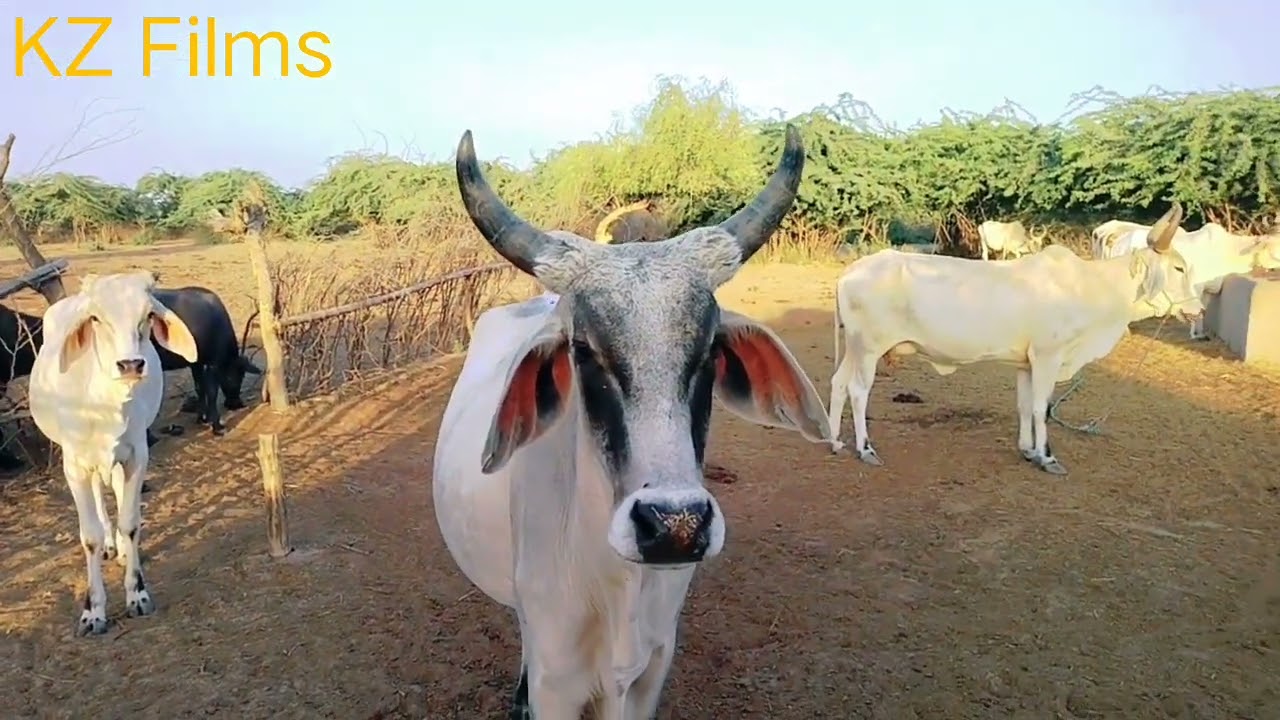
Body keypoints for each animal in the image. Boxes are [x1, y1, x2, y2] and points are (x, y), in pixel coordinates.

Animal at [27, 271, 197, 636]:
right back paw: (109, 543)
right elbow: (89, 536)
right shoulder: (75, 466)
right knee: (98, 498)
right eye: (95, 318)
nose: (130, 364)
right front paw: (93, 611)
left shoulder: (136, 456)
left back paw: (119, 547)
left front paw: (137, 592)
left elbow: (131, 522)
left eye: (148, 315)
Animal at [146, 286, 261, 442]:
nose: (236, 404)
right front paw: (217, 426)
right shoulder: (213, 364)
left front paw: (203, 418)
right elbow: (211, 392)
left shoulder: (196, 364)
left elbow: (200, 388)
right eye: (238, 376)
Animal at [433, 125, 831, 719]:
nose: (675, 526)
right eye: (582, 349)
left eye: (710, 349)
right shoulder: (556, 680)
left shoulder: (650, 673)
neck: (614, 581)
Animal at [828, 202, 1200, 476]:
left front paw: (1027, 449)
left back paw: (834, 441)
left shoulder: (1026, 363)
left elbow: (1024, 406)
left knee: (839, 383)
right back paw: (865, 448)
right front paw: (1046, 457)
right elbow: (1040, 407)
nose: (1197, 310)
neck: (1090, 288)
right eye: (1179, 269)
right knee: (858, 391)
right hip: (869, 349)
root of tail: (850, 272)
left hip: (855, 348)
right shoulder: (1048, 357)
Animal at [1104, 222, 1280, 339]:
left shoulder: (1209, 289)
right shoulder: (1196, 286)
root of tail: (1120, 240)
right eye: (1275, 251)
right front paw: (1194, 334)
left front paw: (1201, 333)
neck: (1228, 251)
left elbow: (1203, 309)